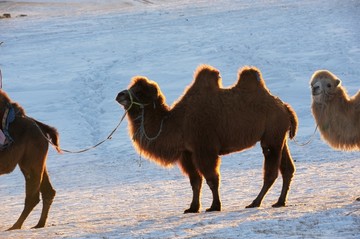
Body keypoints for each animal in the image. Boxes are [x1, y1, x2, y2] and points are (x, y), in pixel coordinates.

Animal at [0, 89, 60, 230]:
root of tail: (40, 127)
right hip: (36, 162)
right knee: (48, 192)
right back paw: (39, 224)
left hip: (30, 162)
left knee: (33, 197)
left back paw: (15, 226)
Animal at [116, 65, 298, 213]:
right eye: (131, 87)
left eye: (139, 92)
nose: (120, 94)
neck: (178, 123)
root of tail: (284, 107)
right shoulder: (187, 153)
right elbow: (195, 181)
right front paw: (192, 208)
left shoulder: (204, 147)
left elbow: (211, 179)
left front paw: (214, 206)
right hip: (278, 137)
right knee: (287, 168)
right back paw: (279, 202)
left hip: (271, 136)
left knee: (271, 172)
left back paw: (255, 202)